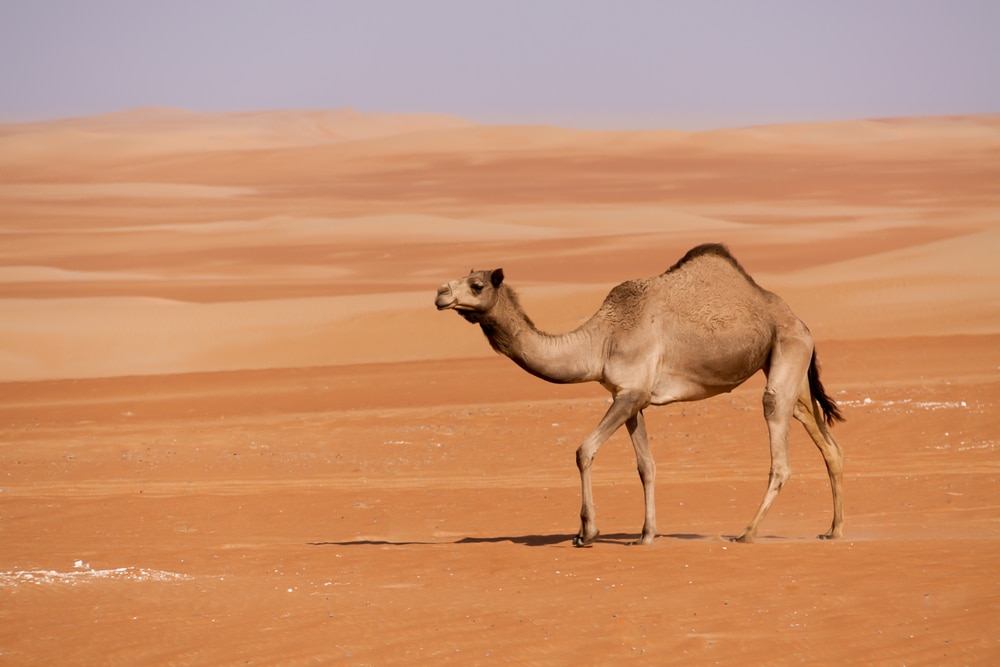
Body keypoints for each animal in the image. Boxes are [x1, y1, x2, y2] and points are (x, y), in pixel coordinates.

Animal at [435, 243, 844, 546]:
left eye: (477, 285)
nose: (440, 293)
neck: (601, 341)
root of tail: (798, 320)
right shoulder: (633, 399)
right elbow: (646, 466)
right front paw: (646, 535)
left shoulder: (629, 393)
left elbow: (584, 450)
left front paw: (587, 532)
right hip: (790, 367)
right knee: (827, 442)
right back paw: (833, 530)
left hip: (787, 351)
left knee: (779, 448)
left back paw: (746, 532)